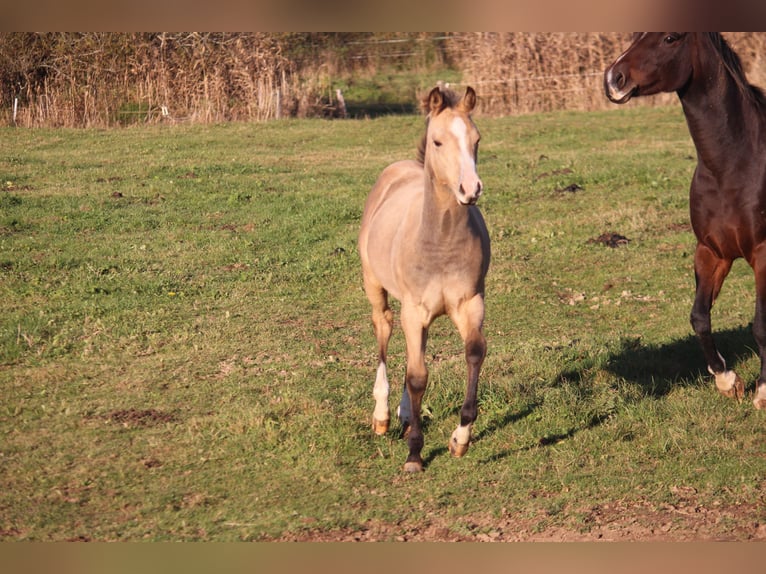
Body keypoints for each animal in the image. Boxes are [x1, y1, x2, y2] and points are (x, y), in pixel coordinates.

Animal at [360, 85, 492, 472]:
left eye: (476, 139)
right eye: (437, 141)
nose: (470, 189)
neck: (440, 243)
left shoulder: (470, 304)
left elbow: (474, 353)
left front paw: (460, 439)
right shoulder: (414, 310)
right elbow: (418, 377)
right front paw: (415, 454)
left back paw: (404, 416)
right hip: (376, 288)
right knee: (384, 330)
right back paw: (383, 416)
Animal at [608, 33, 766, 410]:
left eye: (670, 38)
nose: (613, 79)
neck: (734, 165)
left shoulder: (763, 254)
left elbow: (760, 325)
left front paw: (763, 391)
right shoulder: (711, 253)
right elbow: (699, 317)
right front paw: (727, 381)